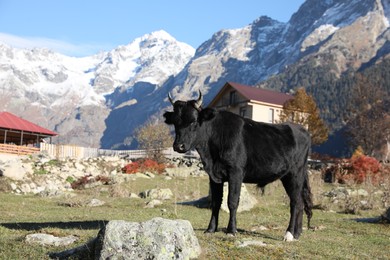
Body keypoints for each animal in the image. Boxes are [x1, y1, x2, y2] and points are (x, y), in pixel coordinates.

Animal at [163, 92, 312, 242]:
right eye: (175, 122)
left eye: (193, 121)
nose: (178, 146)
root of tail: (301, 129)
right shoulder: (214, 175)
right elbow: (216, 202)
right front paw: (210, 229)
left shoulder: (236, 172)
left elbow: (232, 201)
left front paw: (231, 230)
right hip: (288, 176)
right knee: (300, 203)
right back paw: (297, 233)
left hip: (295, 173)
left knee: (295, 202)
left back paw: (289, 234)